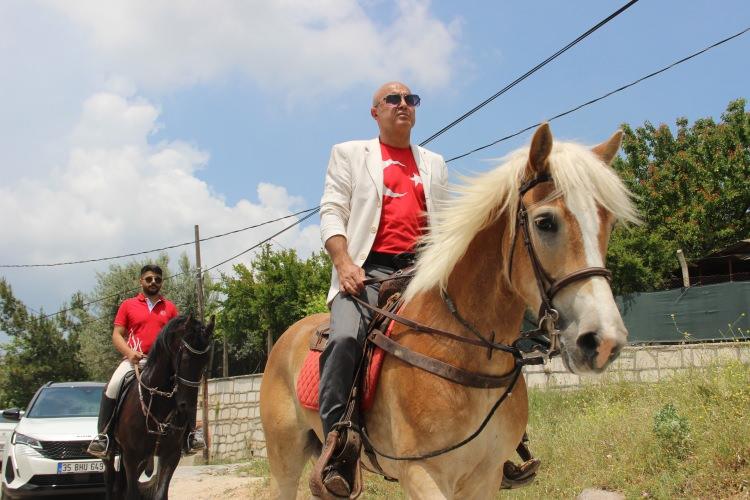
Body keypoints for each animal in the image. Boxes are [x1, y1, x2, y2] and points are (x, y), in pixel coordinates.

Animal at [103, 314, 214, 498]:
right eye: (185, 358)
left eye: (205, 361)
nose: (186, 406)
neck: (157, 402)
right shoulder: (131, 456)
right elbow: (132, 493)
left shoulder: (171, 454)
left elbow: (160, 493)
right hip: (112, 455)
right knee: (112, 484)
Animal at [262, 123, 640, 498]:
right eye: (545, 222)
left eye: (609, 224)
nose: (603, 340)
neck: (464, 352)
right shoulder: (421, 473)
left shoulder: (485, 476)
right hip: (285, 464)